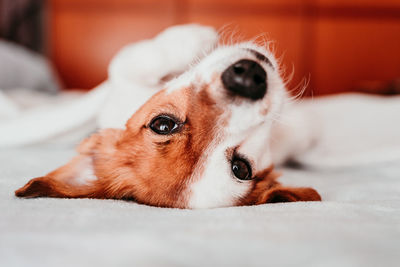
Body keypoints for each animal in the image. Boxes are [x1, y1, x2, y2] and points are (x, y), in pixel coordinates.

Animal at [14, 24, 322, 209]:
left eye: (241, 168)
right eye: (163, 124)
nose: (247, 78)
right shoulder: (123, 76)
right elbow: (136, 60)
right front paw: (195, 36)